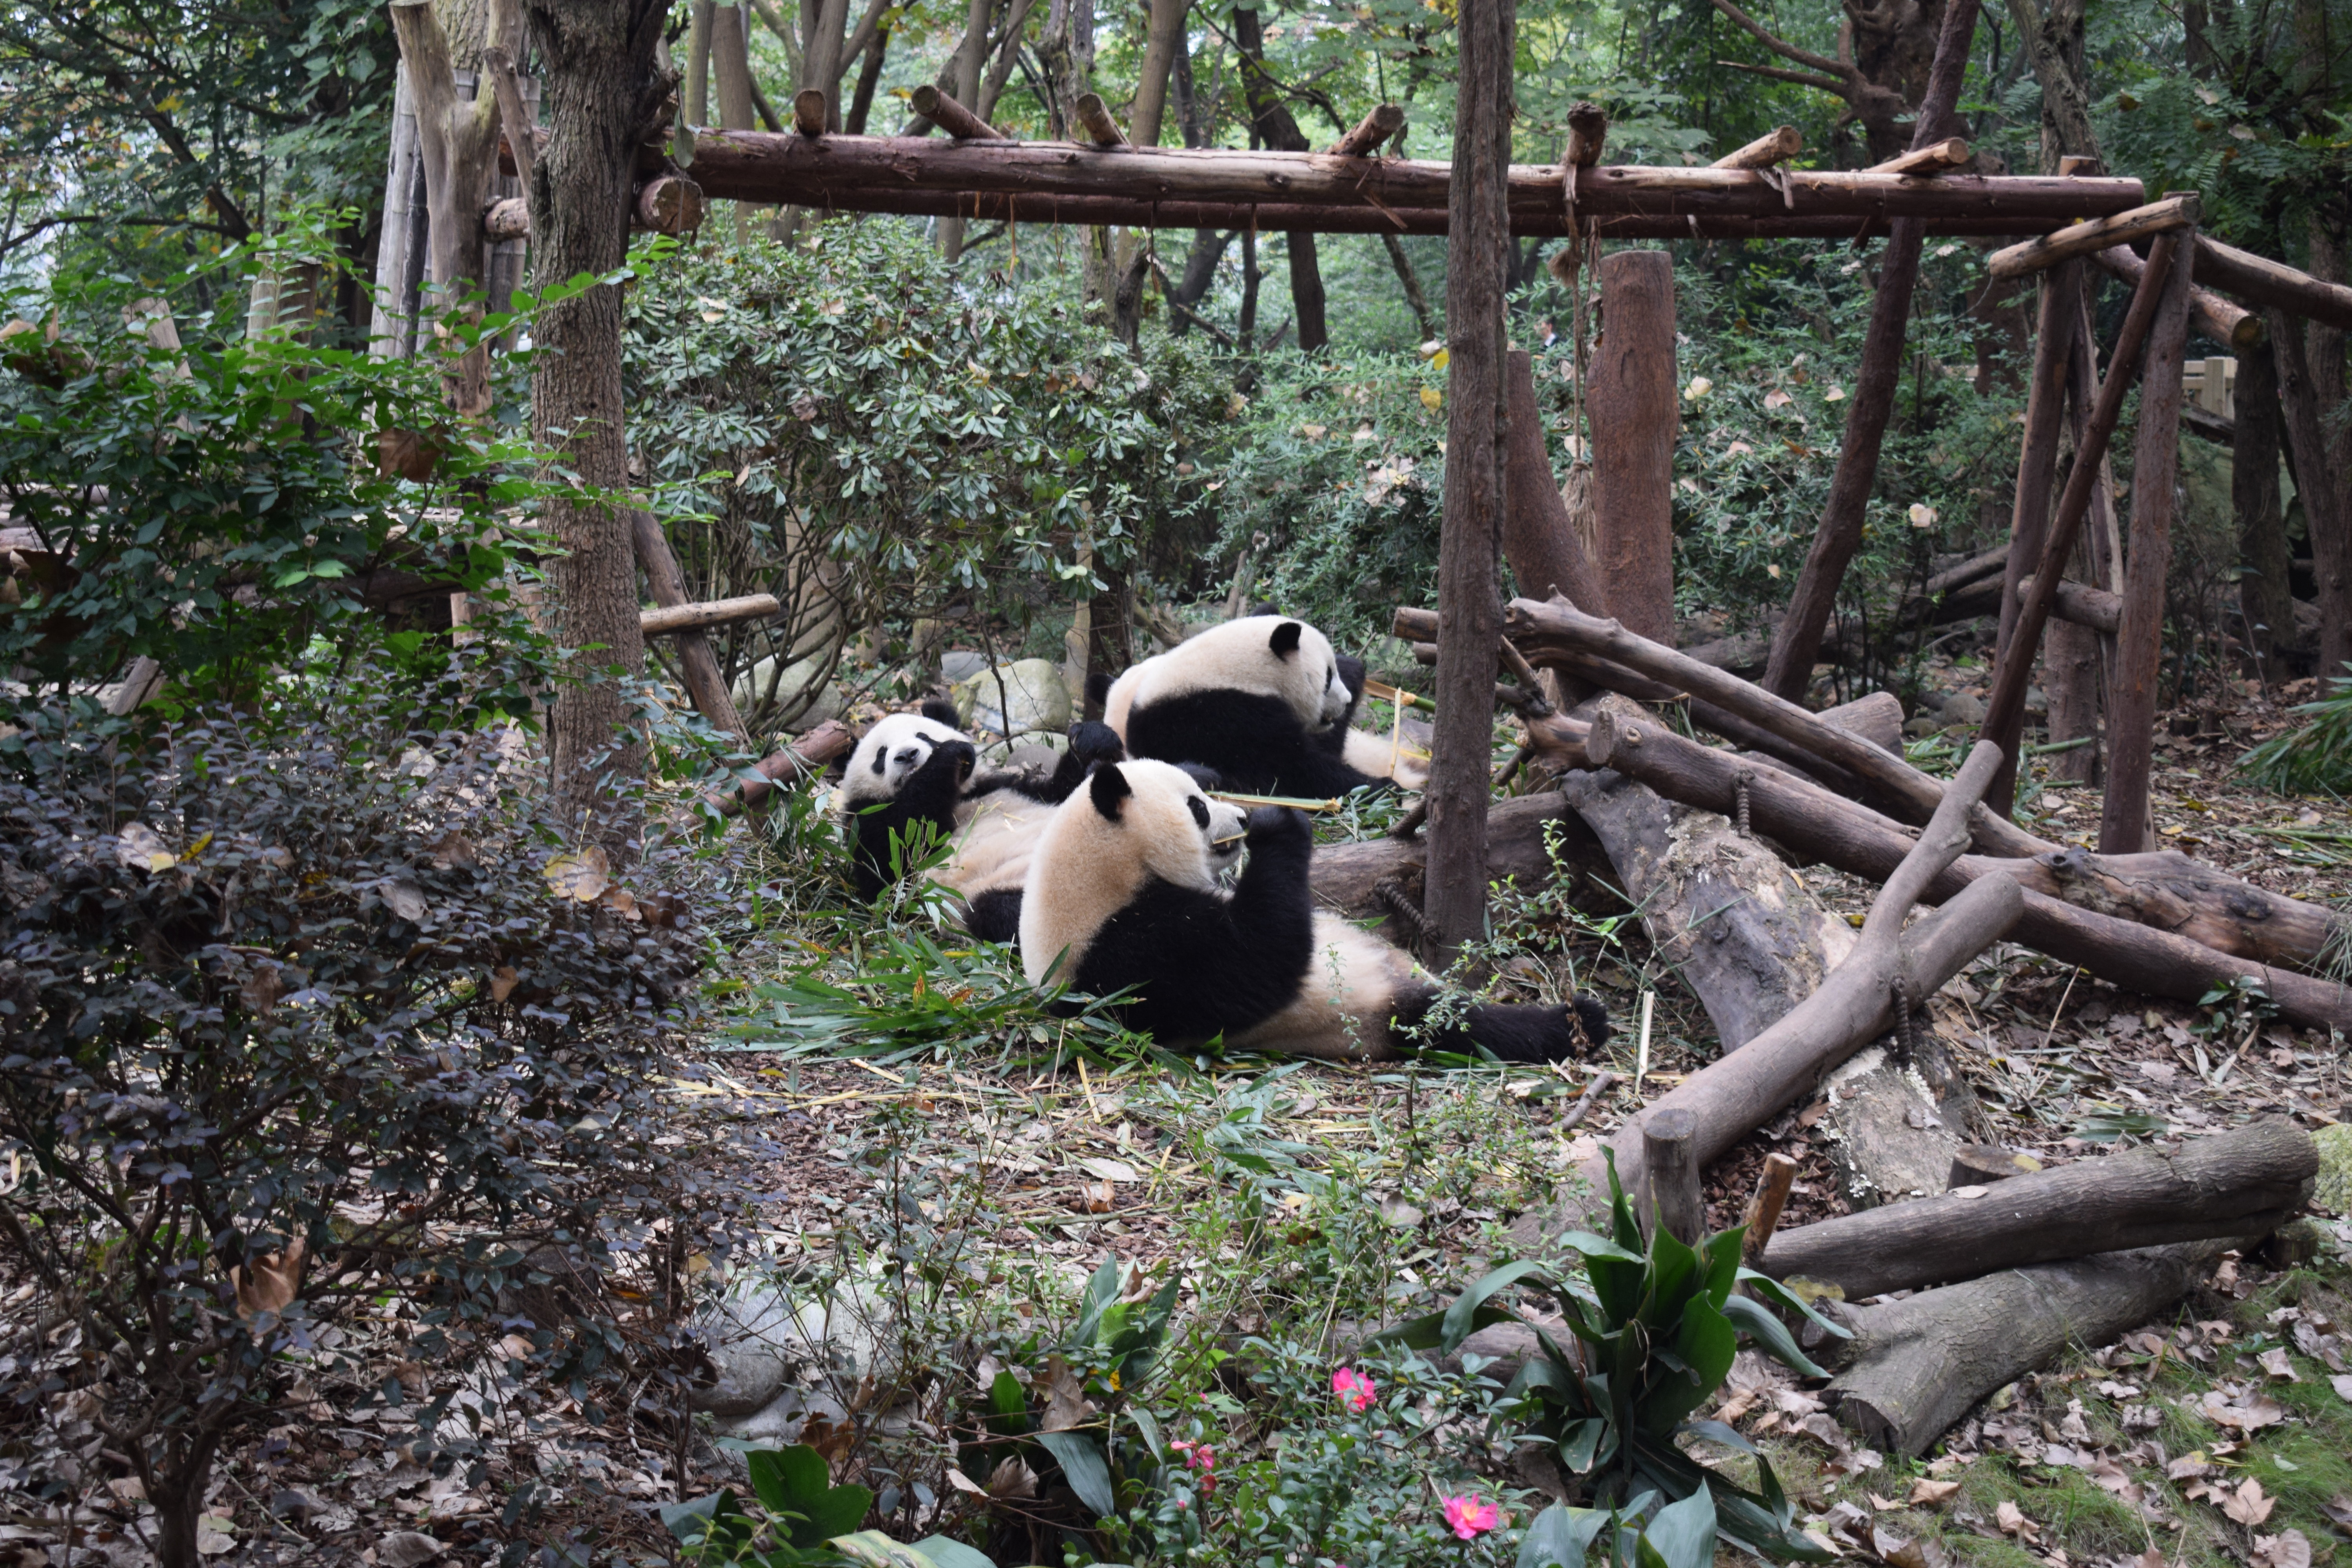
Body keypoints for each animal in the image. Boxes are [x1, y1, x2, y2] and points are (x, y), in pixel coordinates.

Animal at [836, 701, 1123, 939]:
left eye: (924, 736)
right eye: (881, 755)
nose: (907, 755)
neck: (958, 797)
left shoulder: (1004, 788)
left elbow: (1066, 792)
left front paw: (1092, 742)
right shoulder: (864, 820)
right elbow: (889, 870)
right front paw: (947, 758)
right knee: (1012, 914)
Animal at [1018, 757, 1608, 1063]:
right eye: (1198, 807)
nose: (1239, 819)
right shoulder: (1128, 954)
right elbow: (1253, 966)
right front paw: (1280, 823)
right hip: (1380, 1014)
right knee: (1459, 1026)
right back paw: (1576, 1023)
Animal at [1099, 616, 1420, 798]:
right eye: (1327, 678)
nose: (1347, 702)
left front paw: (1353, 669)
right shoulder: (1225, 719)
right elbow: (1295, 770)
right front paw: (1384, 787)